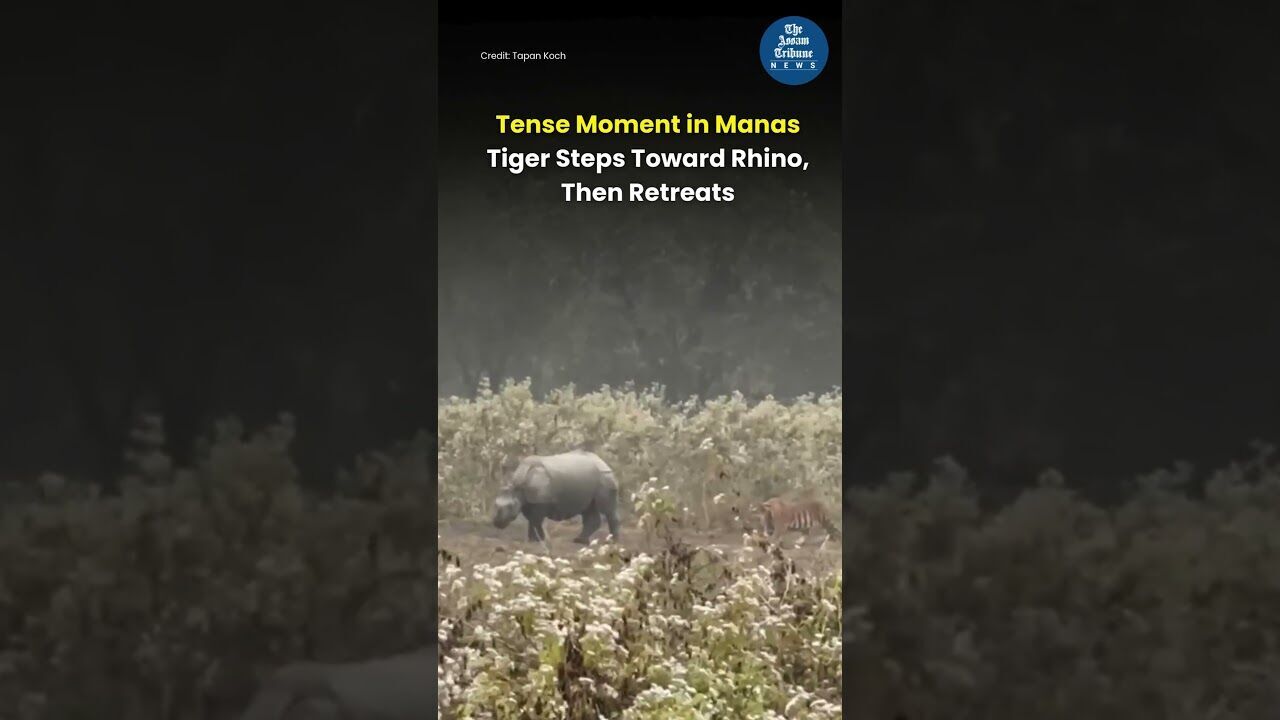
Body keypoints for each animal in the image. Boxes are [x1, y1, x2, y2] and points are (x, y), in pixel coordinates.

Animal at [492, 450, 621, 544]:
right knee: (589, 509)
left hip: (604, 476)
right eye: (495, 504)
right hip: (591, 479)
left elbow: (536, 520)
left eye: (510, 506)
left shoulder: (540, 501)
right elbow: (531, 520)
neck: (518, 488)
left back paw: (613, 542)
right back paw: (580, 541)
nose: (497, 523)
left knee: (607, 510)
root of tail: (603, 462)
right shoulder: (528, 502)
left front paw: (539, 540)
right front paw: (532, 540)